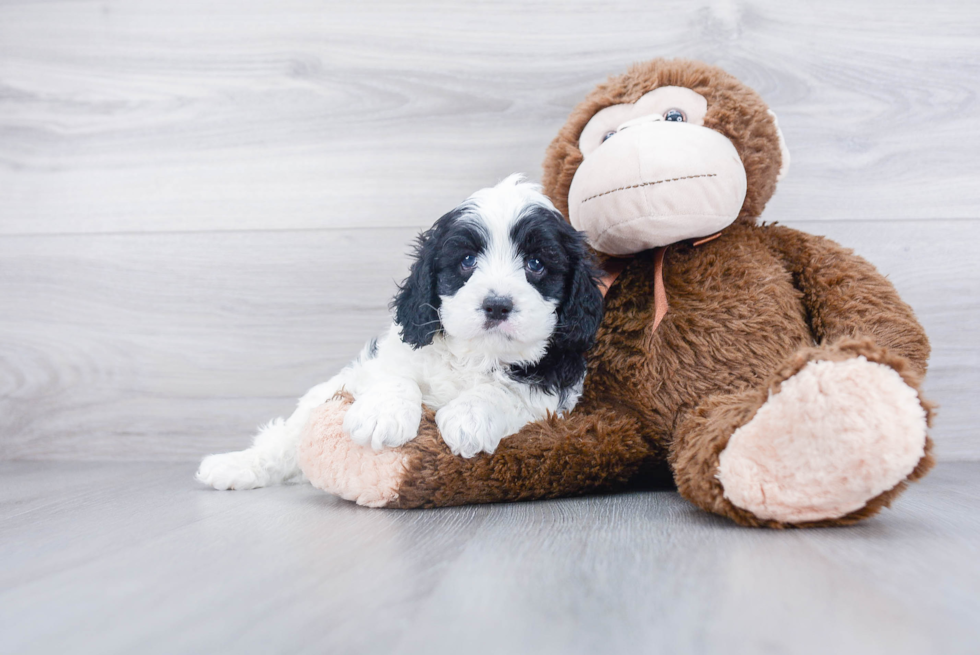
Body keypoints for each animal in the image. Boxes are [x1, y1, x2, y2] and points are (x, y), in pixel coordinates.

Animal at [195, 176, 600, 492]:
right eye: (467, 261)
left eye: (536, 264)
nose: (497, 305)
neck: (475, 354)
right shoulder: (390, 355)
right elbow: (396, 375)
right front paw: (382, 415)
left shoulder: (553, 387)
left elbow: (504, 391)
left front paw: (469, 417)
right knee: (285, 437)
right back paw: (234, 466)